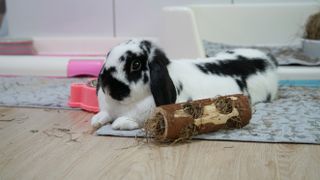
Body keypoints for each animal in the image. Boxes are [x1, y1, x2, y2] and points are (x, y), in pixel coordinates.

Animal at [90, 39, 278, 129]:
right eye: (108, 54)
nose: (105, 83)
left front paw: (119, 123)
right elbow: (104, 115)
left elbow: (125, 120)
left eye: (135, 64)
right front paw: (96, 121)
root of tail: (268, 60)